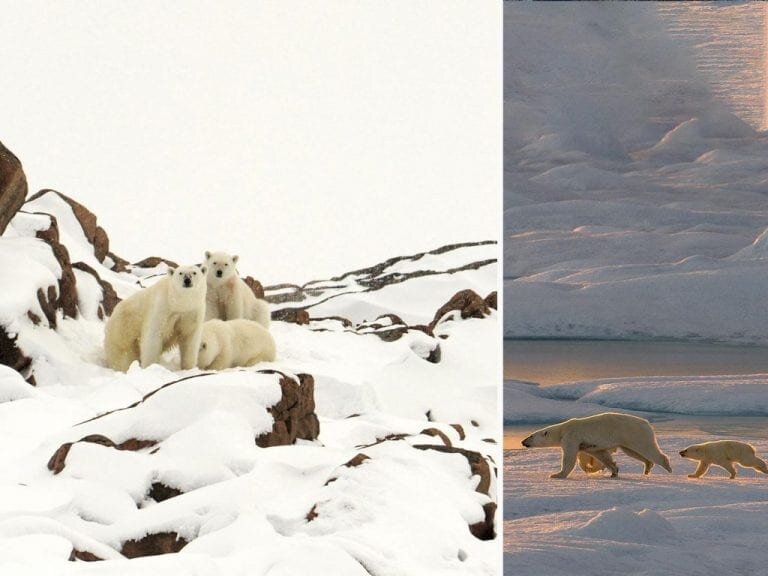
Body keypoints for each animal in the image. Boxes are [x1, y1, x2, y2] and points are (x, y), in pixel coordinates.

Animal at [520, 412, 672, 480]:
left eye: (531, 435)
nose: (523, 441)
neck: (562, 430)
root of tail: (647, 423)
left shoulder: (571, 437)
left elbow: (569, 458)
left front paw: (556, 474)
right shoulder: (590, 445)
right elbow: (602, 455)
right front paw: (613, 471)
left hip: (634, 433)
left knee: (647, 449)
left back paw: (667, 467)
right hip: (627, 438)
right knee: (634, 452)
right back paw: (647, 467)